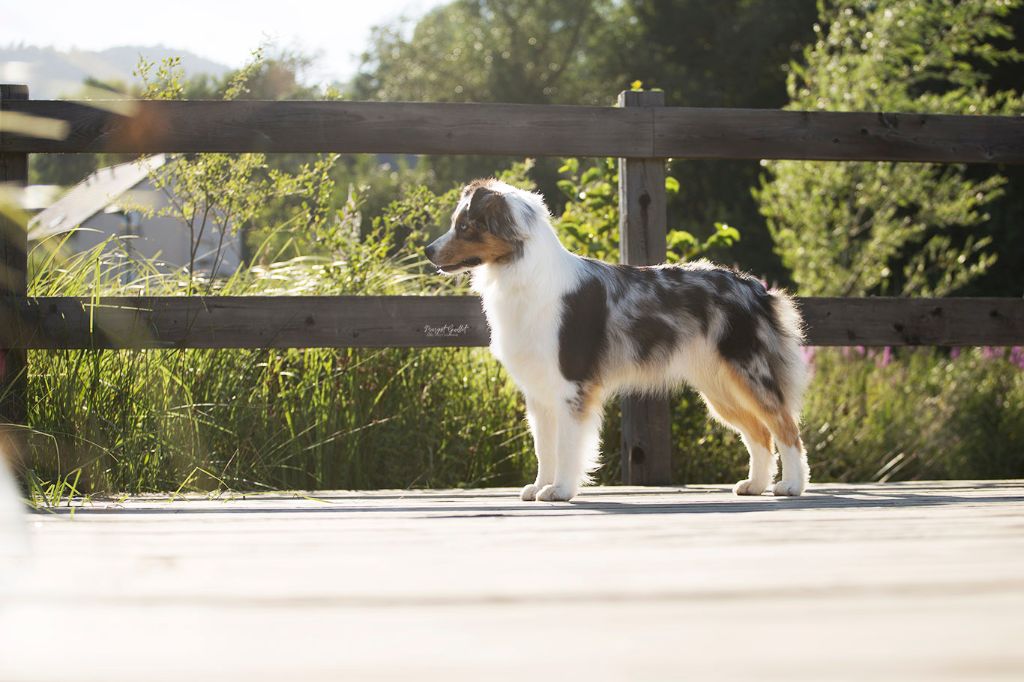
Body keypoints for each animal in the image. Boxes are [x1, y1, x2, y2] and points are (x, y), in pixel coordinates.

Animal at [423, 179, 806, 499]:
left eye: (465, 226)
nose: (428, 250)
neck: (520, 274)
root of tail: (755, 287)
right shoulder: (539, 391)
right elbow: (544, 447)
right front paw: (539, 486)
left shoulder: (571, 385)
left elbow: (567, 445)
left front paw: (560, 490)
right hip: (719, 386)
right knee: (759, 433)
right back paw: (755, 484)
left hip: (749, 373)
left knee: (785, 427)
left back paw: (792, 485)